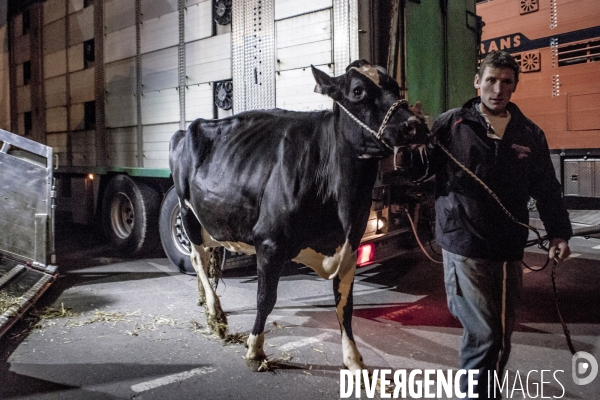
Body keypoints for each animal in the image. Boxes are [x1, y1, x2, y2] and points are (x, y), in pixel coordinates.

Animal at [170, 60, 426, 372]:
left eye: (395, 86)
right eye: (358, 91)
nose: (414, 125)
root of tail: (189, 127)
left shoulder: (350, 247)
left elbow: (345, 306)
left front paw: (353, 359)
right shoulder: (269, 242)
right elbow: (265, 298)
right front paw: (255, 350)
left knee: (210, 259)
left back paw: (207, 306)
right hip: (187, 211)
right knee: (198, 258)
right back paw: (216, 313)